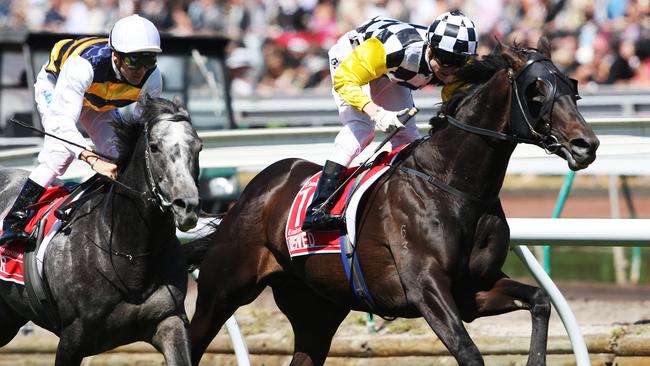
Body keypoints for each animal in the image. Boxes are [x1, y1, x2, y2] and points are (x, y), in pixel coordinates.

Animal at [0, 96, 202, 364]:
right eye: (155, 147)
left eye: (199, 147)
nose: (187, 206)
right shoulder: (72, 338)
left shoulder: (169, 320)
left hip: (9, 318)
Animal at [186, 38, 596, 366]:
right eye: (536, 91)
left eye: (572, 87)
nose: (586, 145)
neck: (452, 186)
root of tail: (253, 191)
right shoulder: (426, 288)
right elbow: (469, 352)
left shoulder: (473, 289)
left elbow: (540, 299)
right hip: (221, 291)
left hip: (316, 310)